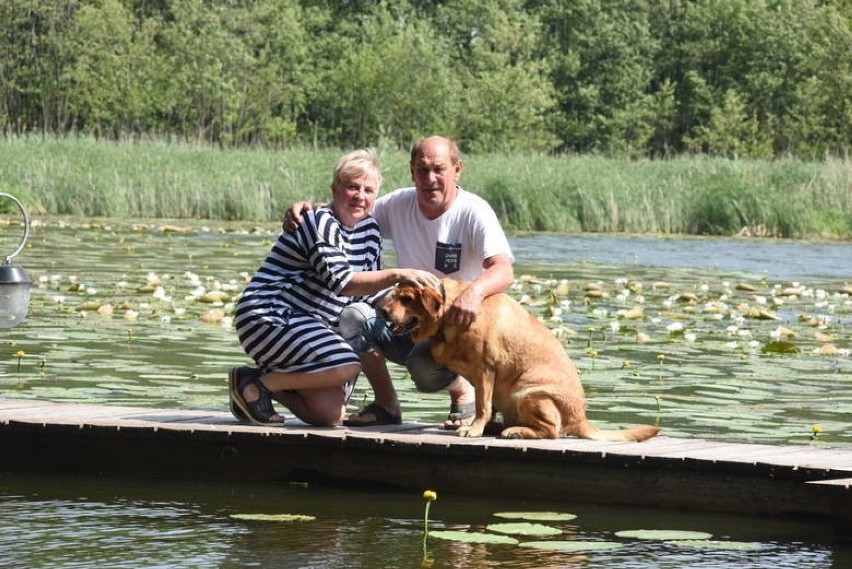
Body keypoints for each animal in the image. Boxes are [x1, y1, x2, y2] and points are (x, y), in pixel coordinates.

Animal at [382, 278, 664, 442]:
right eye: (395, 295)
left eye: (407, 299)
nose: (381, 310)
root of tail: (581, 419)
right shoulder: (483, 379)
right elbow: (486, 406)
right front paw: (481, 426)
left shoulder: (485, 370)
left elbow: (482, 406)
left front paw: (473, 429)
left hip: (527, 394)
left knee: (551, 432)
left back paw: (514, 431)